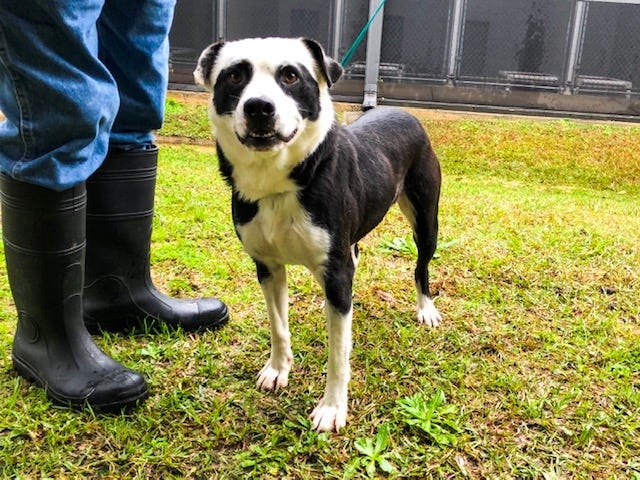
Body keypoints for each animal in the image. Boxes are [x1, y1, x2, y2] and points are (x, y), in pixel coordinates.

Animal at [194, 37, 442, 432]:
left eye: (291, 76)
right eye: (234, 76)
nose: (259, 107)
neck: (280, 184)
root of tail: (401, 111)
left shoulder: (336, 277)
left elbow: (338, 353)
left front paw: (331, 408)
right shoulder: (267, 268)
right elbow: (278, 325)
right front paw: (278, 369)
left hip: (426, 220)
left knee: (421, 266)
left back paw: (426, 309)